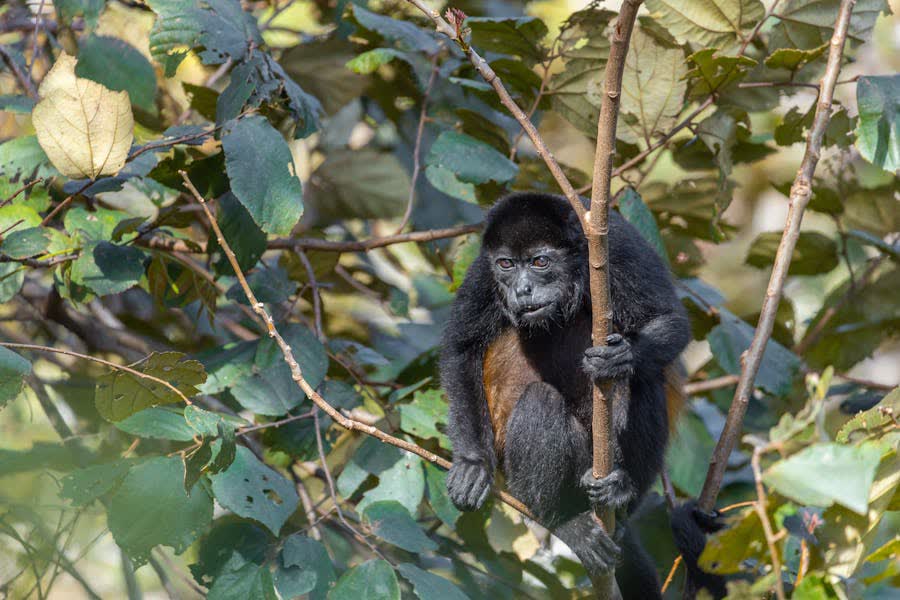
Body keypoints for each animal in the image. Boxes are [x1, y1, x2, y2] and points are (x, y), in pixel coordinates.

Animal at [440, 192, 724, 598]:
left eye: (540, 262)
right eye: (506, 264)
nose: (522, 289)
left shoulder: (618, 244)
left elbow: (668, 319)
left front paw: (621, 358)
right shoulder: (482, 271)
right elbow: (460, 351)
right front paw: (473, 464)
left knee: (644, 380)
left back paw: (620, 494)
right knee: (541, 401)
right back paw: (565, 522)